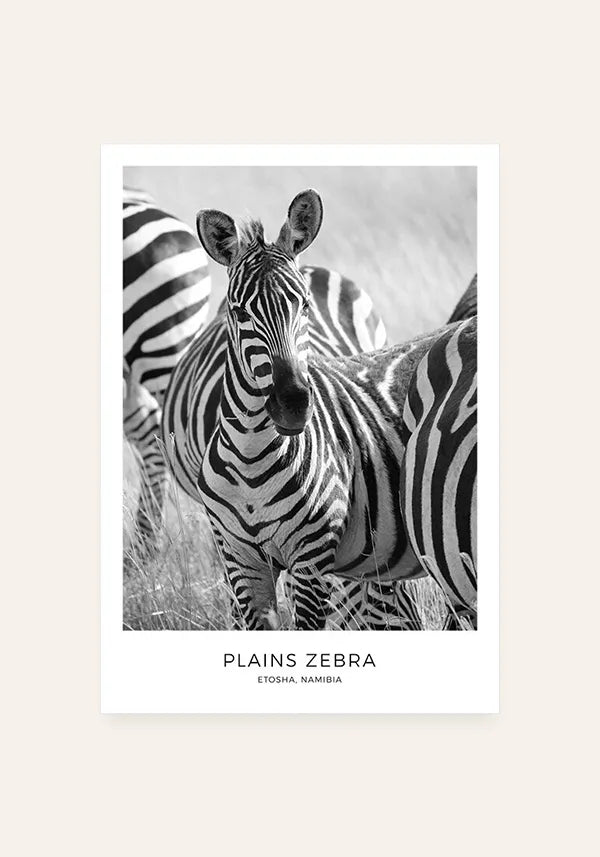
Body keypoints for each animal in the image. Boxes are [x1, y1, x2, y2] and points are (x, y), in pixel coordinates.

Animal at [175, 189, 461, 630]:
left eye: (305, 306)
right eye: (239, 313)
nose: (293, 404)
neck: (251, 457)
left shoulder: (311, 561)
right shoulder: (241, 563)